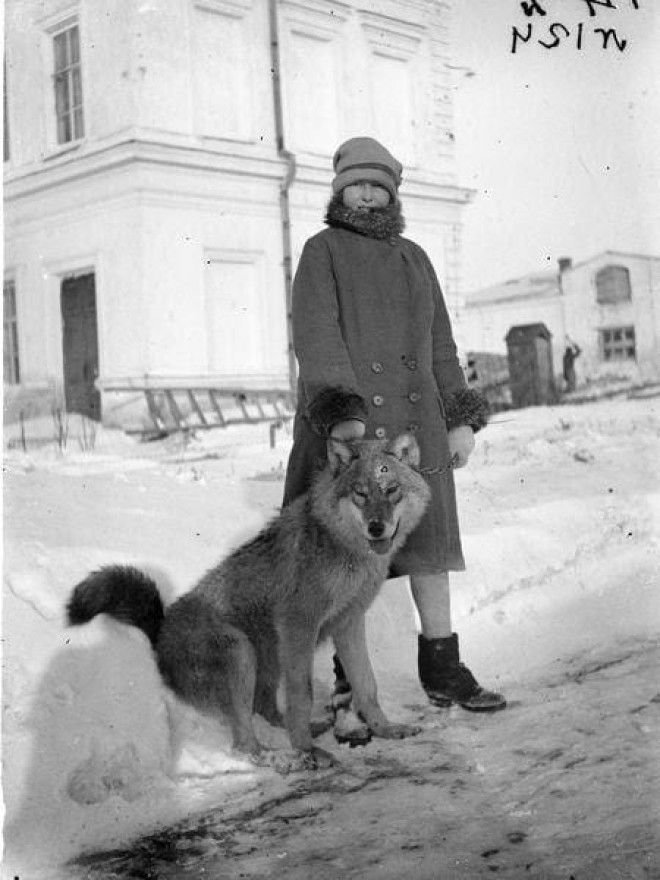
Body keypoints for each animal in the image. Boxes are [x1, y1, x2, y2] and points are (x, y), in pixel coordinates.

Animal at [65, 432, 428, 768]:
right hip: (242, 651)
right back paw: (288, 758)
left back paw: (310, 731)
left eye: (391, 490)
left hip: (268, 653)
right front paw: (308, 750)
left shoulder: (348, 623)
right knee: (244, 744)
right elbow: (302, 694)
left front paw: (386, 729)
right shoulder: (299, 625)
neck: (345, 549)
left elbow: (367, 684)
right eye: (361, 494)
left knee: (265, 709)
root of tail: (159, 634)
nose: (376, 527)